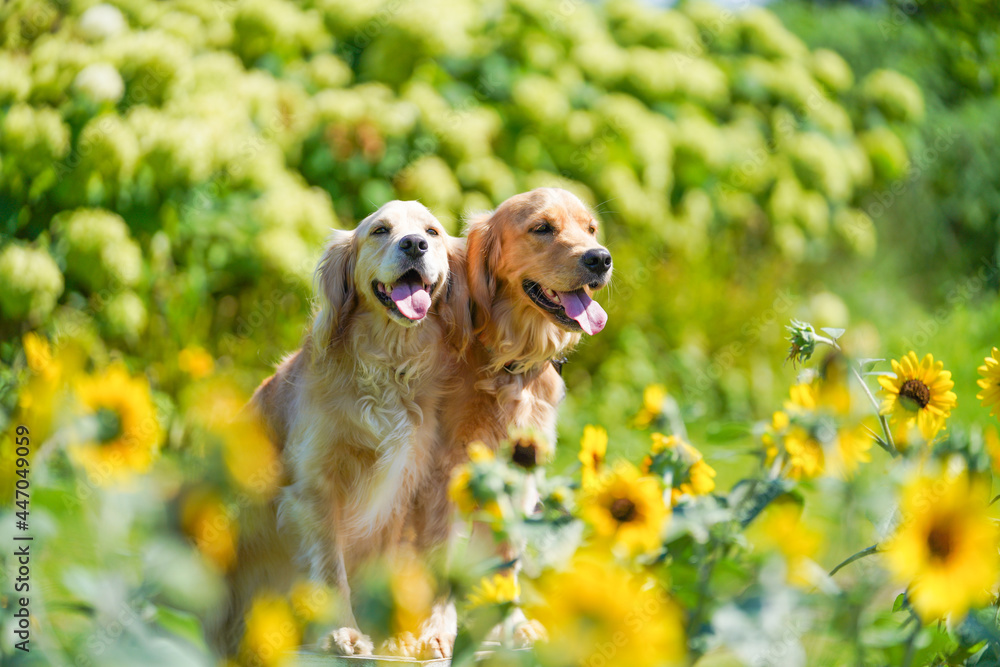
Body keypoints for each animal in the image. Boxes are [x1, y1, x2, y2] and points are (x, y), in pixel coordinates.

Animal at [216, 201, 464, 660]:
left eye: (432, 232)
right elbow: (332, 570)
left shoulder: (394, 498)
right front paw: (342, 632)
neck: (386, 367)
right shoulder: (316, 489)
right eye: (380, 230)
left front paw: (390, 638)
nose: (414, 245)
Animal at [408, 188, 608, 656]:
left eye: (590, 229)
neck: (509, 361)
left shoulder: (518, 475)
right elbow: (441, 557)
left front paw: (510, 624)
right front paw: (436, 629)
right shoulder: (446, 474)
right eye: (542, 228)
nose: (601, 259)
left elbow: (506, 558)